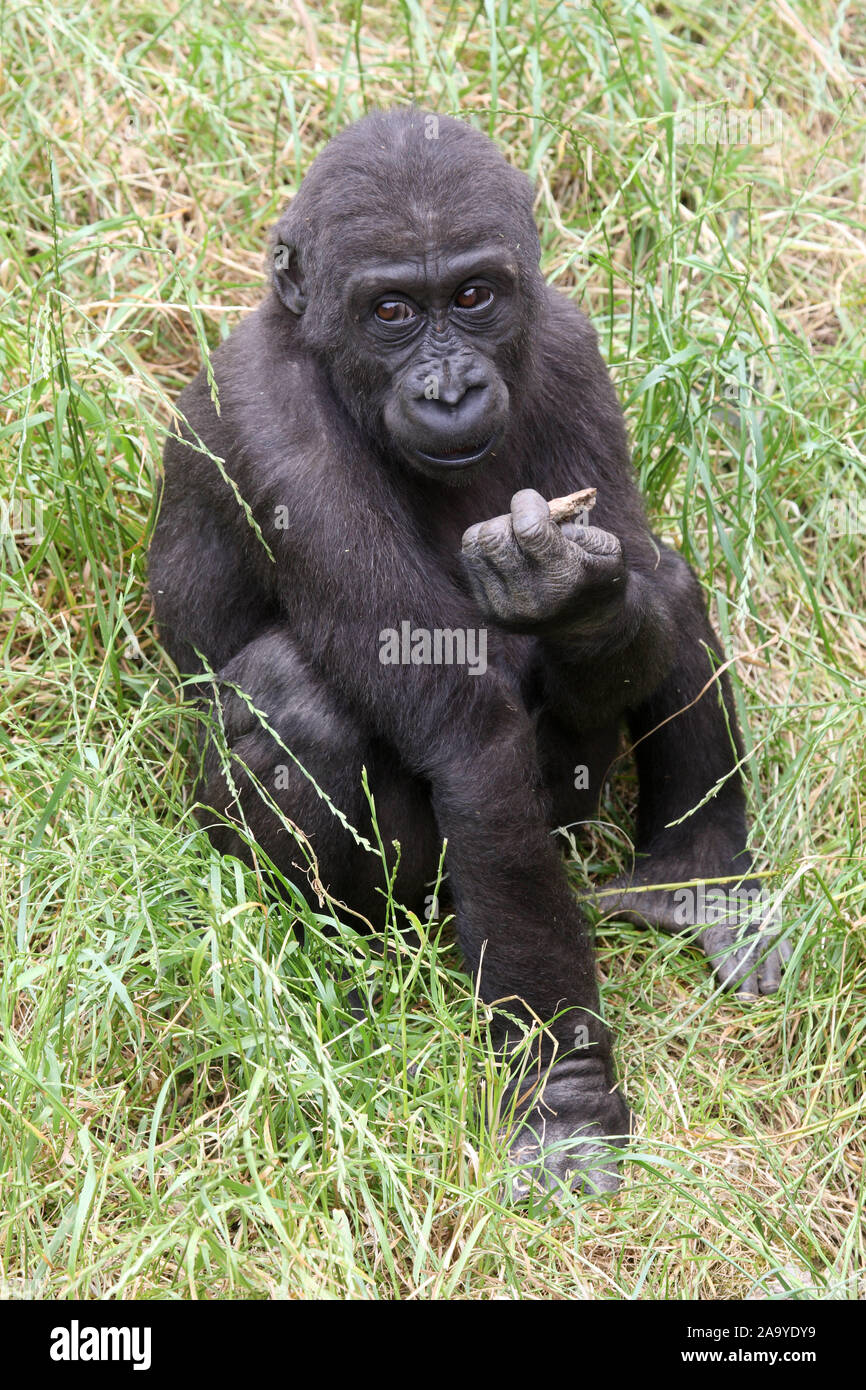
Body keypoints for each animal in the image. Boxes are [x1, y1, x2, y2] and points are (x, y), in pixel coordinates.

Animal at [150, 108, 795, 1195]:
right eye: (391, 311)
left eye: (473, 295)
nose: (449, 388)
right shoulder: (277, 427)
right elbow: (470, 738)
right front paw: (564, 1094)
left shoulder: (569, 346)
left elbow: (632, 585)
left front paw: (578, 600)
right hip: (416, 894)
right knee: (294, 702)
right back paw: (345, 951)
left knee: (669, 584)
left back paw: (693, 879)